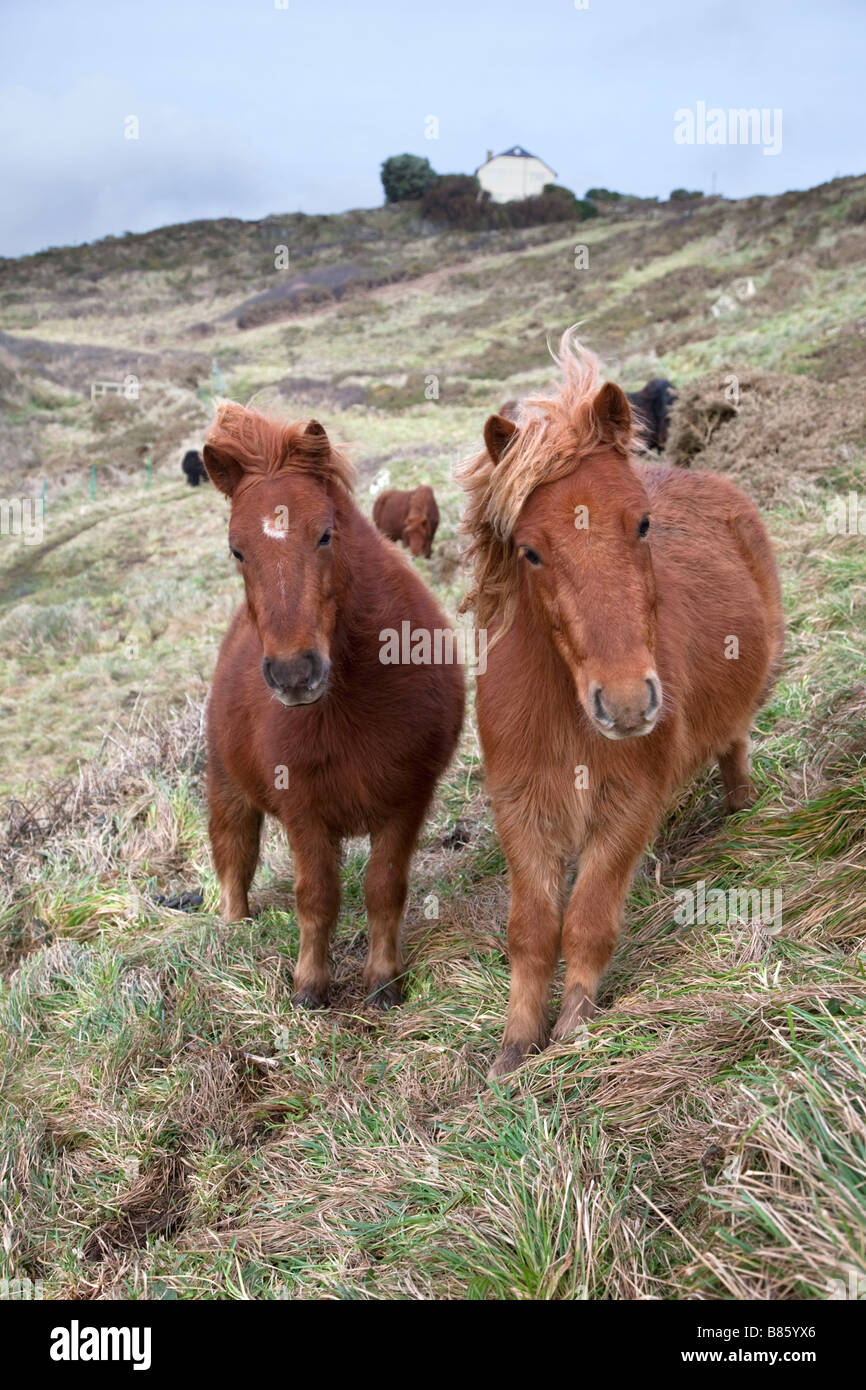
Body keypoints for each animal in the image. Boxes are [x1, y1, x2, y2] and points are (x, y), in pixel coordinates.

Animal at [461, 330, 783, 1078]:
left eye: (641, 524)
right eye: (530, 551)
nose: (631, 705)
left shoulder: (627, 807)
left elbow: (587, 920)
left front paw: (575, 1027)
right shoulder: (523, 813)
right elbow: (531, 930)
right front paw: (514, 1048)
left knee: (734, 741)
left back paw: (740, 806)